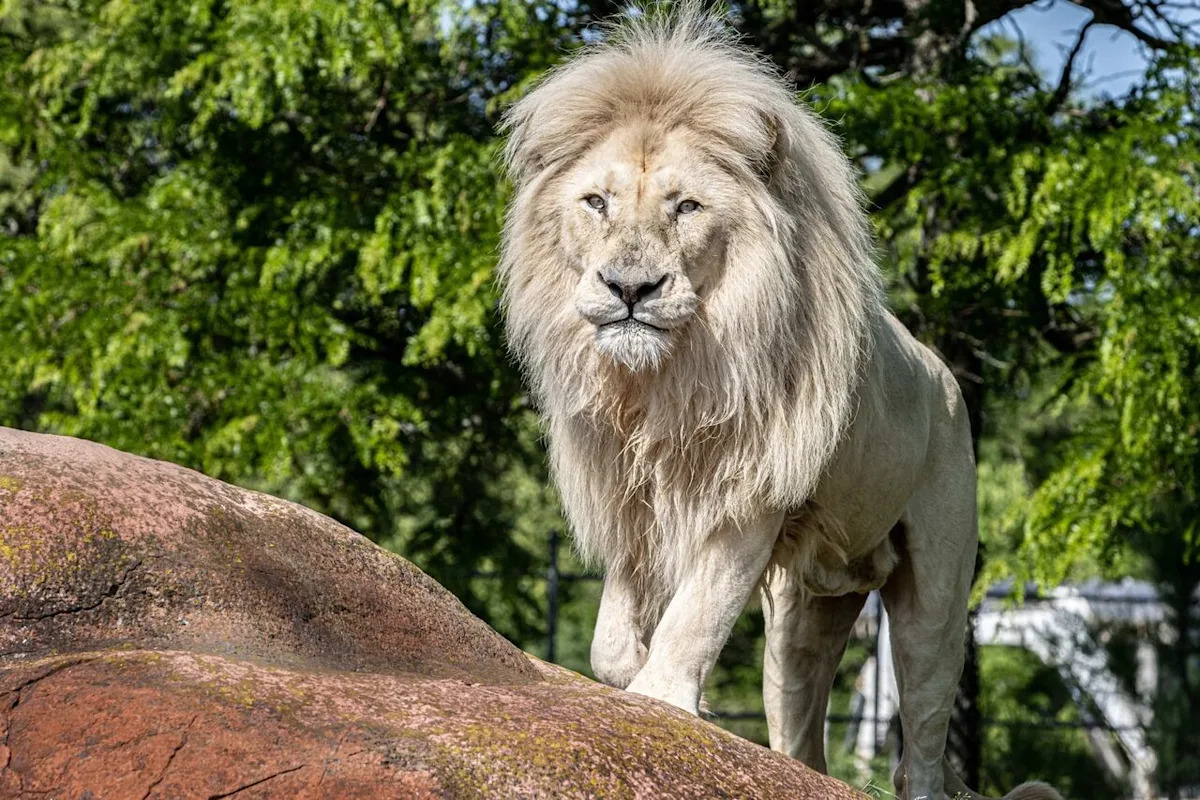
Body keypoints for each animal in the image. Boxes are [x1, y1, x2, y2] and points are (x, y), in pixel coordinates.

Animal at [498, 8, 1062, 800]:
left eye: (686, 207)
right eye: (596, 203)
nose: (630, 288)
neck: (665, 378)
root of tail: (944, 374)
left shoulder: (747, 493)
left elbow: (695, 614)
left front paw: (665, 700)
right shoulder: (629, 493)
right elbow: (611, 637)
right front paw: (635, 679)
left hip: (939, 591)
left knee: (921, 743)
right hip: (802, 614)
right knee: (804, 738)